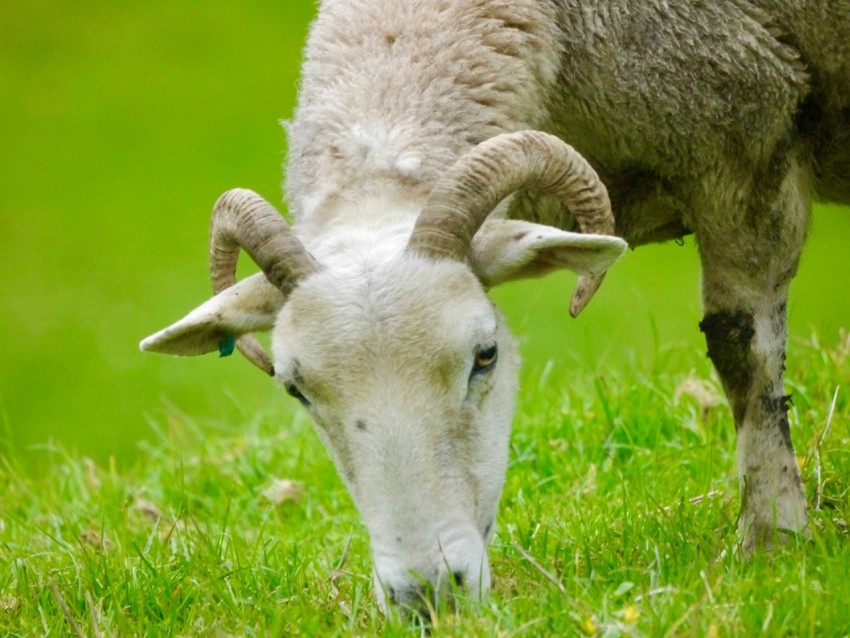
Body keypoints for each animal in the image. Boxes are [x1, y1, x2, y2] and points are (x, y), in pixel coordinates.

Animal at [141, 0, 848, 620]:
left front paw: (774, 540)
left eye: (486, 355)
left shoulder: (749, 146)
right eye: (295, 390)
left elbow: (743, 354)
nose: (429, 595)